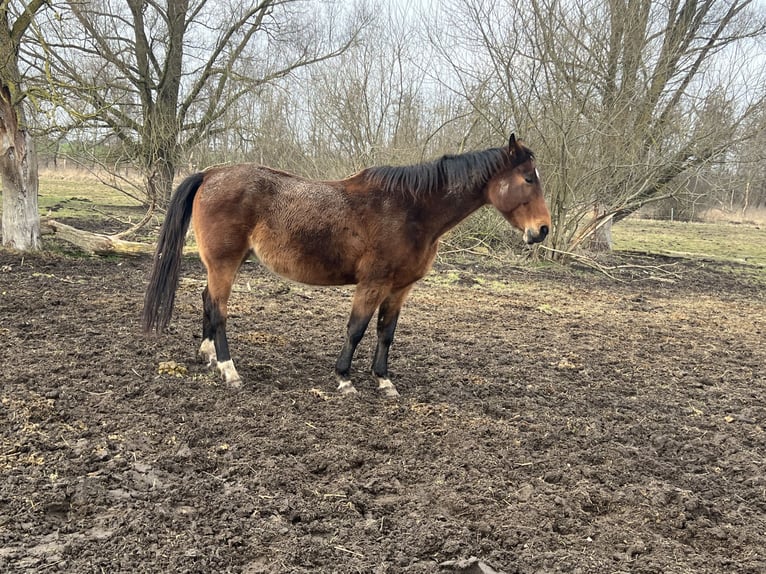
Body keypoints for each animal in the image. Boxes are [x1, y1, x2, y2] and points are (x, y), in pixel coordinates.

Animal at [144, 134, 552, 398]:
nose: (543, 230)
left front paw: (384, 381)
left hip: (223, 264)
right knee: (219, 310)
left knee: (206, 300)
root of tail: (210, 174)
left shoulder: (400, 288)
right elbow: (356, 329)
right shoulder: (372, 283)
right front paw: (344, 379)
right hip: (224, 264)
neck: (411, 210)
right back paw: (230, 370)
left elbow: (386, 333)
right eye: (528, 178)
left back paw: (209, 355)